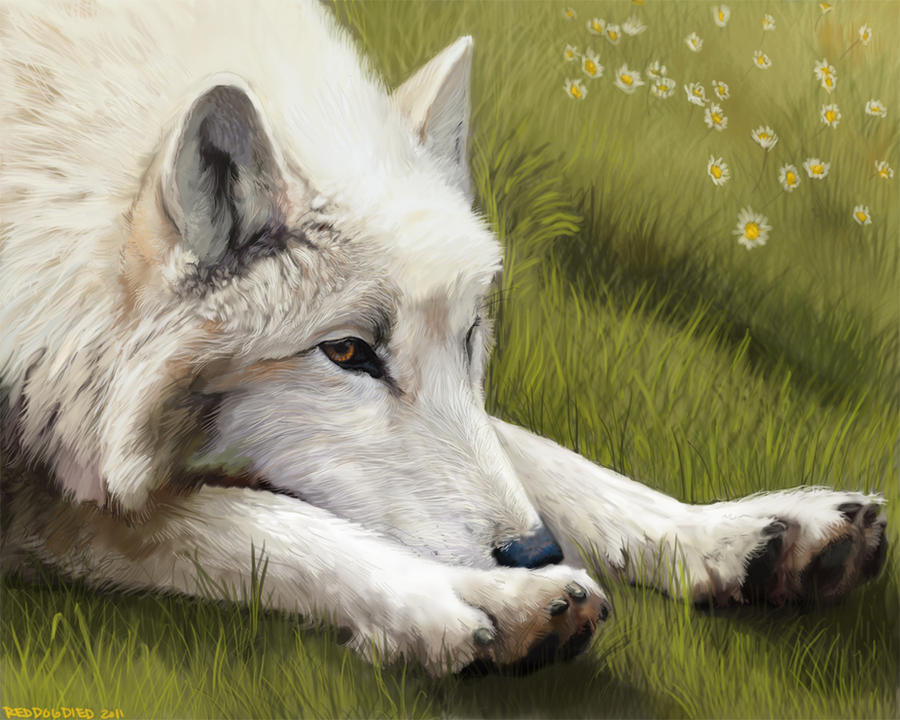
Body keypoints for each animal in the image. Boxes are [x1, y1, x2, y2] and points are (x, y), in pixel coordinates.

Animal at [0, 1, 888, 676]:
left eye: (471, 336)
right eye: (347, 353)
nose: (535, 551)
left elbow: (537, 454)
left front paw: (735, 534)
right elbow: (254, 522)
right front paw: (472, 600)